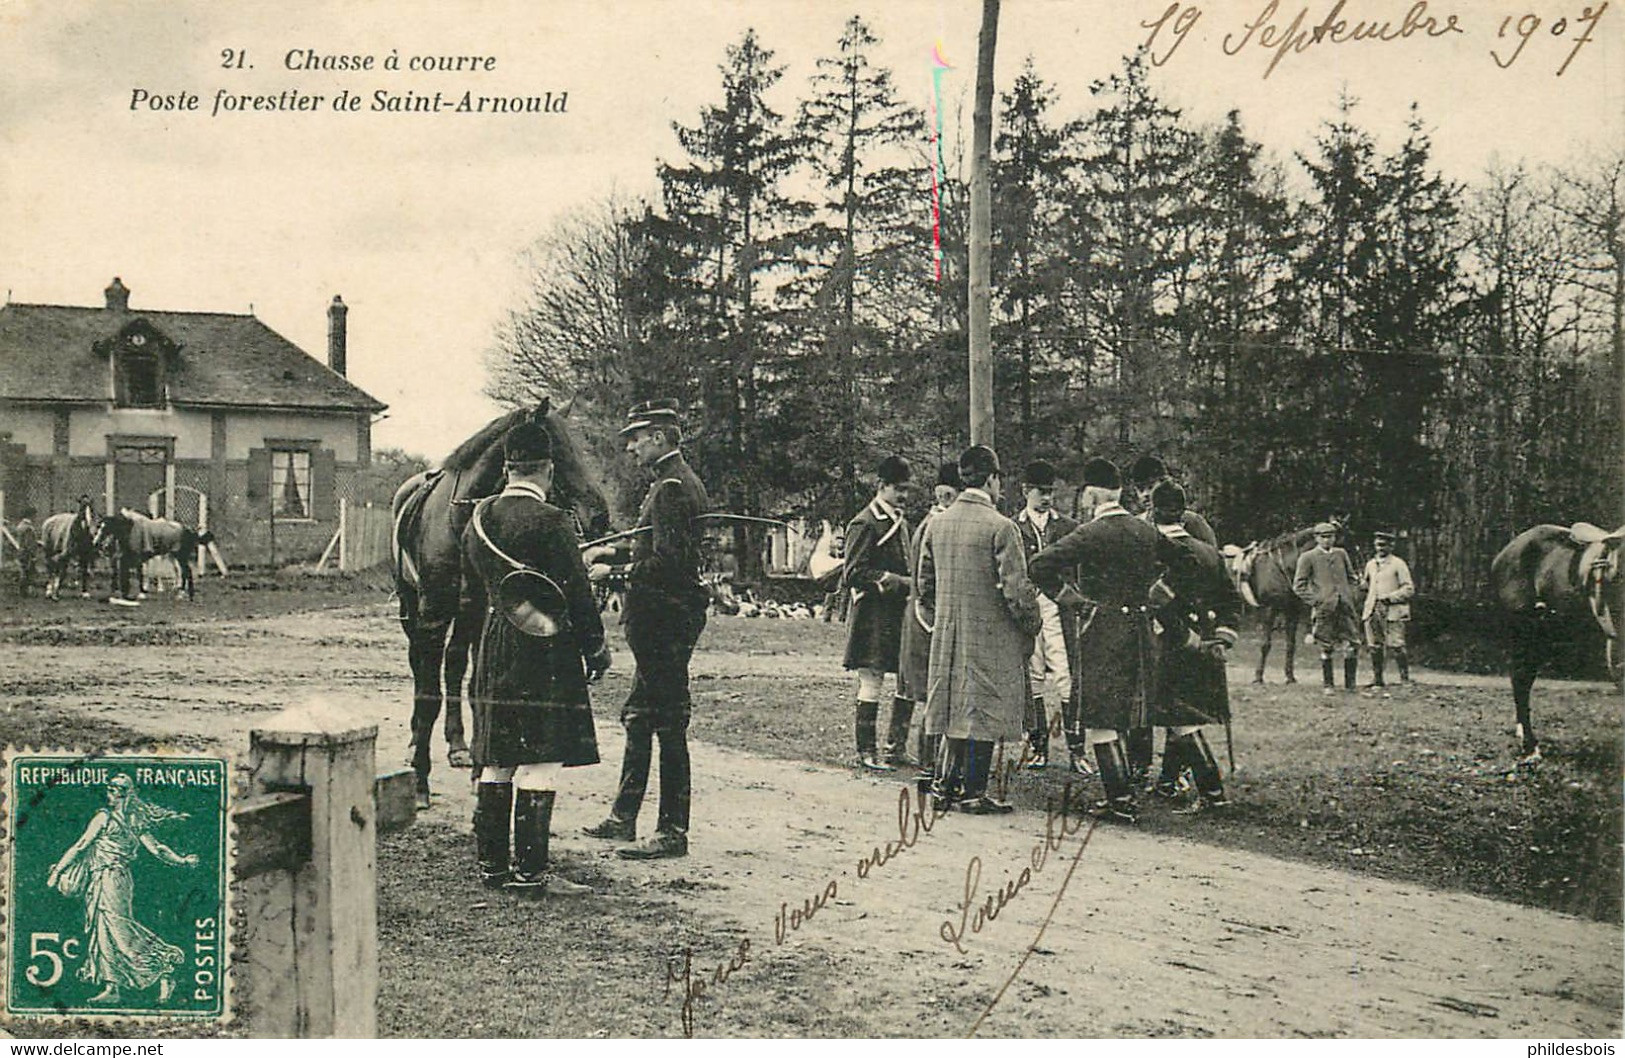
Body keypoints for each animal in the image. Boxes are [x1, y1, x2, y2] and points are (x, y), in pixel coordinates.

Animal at [390, 401, 607, 806]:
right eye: (559, 452)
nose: (599, 514)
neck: (459, 518)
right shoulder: (432, 616)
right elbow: (428, 695)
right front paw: (421, 780)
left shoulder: (478, 610)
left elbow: (477, 688)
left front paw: (480, 770)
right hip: (413, 613)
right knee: (421, 672)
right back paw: (415, 744)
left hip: (465, 617)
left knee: (454, 666)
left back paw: (459, 745)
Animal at [1222, 520, 1352, 685]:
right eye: (1339, 543)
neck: (1279, 567)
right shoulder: (1270, 609)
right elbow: (1265, 644)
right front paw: (1258, 677)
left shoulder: (1292, 610)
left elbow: (1291, 644)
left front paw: (1290, 676)